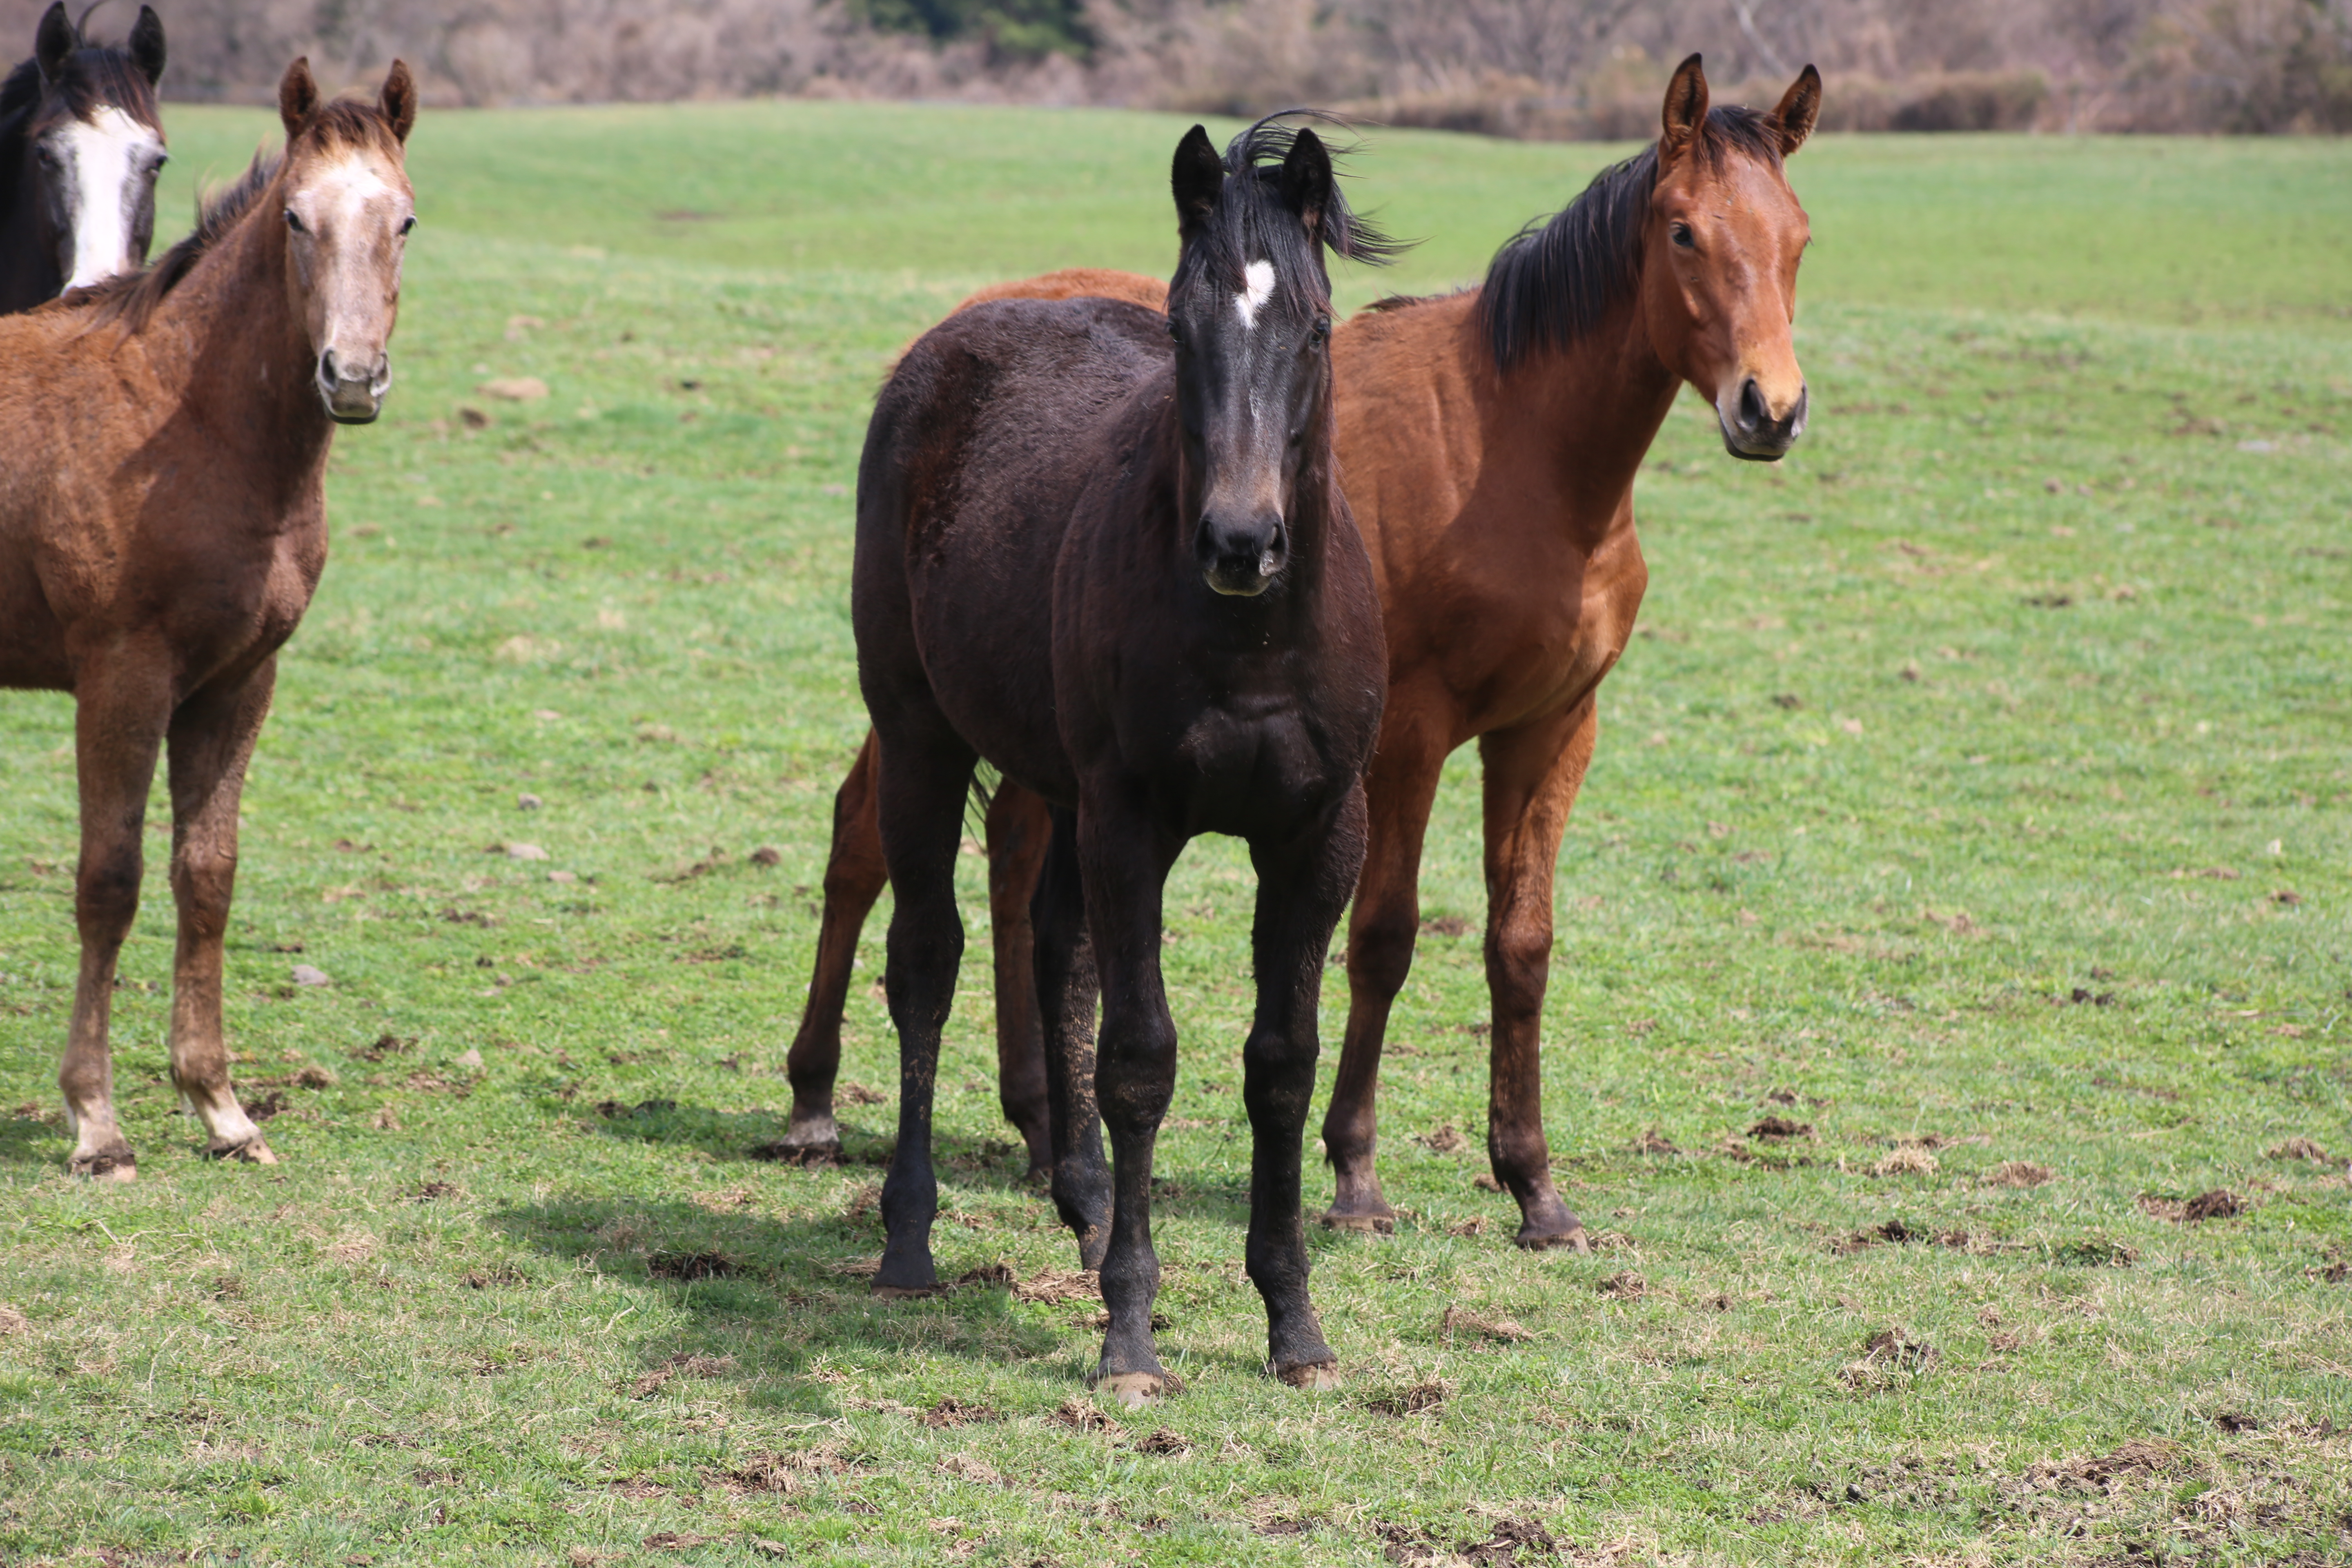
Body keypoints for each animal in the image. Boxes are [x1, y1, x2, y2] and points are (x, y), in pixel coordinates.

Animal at [0, 61, 419, 1185]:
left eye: (405, 220)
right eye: (296, 218)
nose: (351, 376)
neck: (186, 419)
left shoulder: (238, 680)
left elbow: (208, 873)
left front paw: (220, 1105)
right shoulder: (123, 674)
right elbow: (110, 879)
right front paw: (96, 1122)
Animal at [781, 58, 1825, 1250]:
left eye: (1798, 236)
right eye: (1685, 231)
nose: (1769, 408)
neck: (1510, 451)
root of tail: (971, 320)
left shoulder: (1551, 729)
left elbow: (1520, 945)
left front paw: (1533, 1186)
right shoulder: (1407, 740)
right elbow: (1382, 937)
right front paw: (1355, 1172)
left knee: (1010, 861)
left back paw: (1044, 1127)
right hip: (924, 707)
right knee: (863, 839)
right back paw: (815, 1098)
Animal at [851, 116, 1383, 1401]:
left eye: (1314, 329)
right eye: (1184, 329)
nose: (1240, 541)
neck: (1250, 639)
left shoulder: (1319, 832)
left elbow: (1281, 1062)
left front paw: (1294, 1323)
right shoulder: (1133, 818)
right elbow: (1141, 1059)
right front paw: (1131, 1335)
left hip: (1054, 782)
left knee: (1056, 946)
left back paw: (1086, 1205)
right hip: (921, 738)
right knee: (927, 960)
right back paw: (910, 1238)